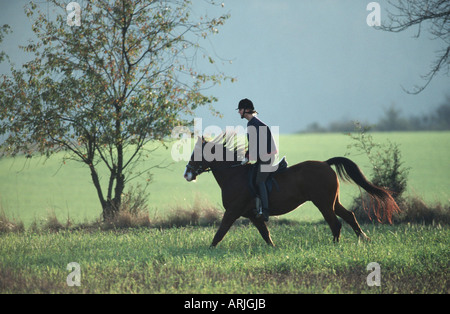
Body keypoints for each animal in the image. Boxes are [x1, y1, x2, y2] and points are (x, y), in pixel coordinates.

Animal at [183, 135, 400, 248]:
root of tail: (325, 163)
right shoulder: (252, 215)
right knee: (349, 216)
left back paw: (335, 245)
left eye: (197, 154)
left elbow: (220, 232)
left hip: (323, 203)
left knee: (335, 223)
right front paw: (273, 249)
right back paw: (364, 238)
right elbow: (265, 234)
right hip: (332, 202)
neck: (234, 174)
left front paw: (209, 250)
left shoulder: (232, 211)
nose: (187, 174)